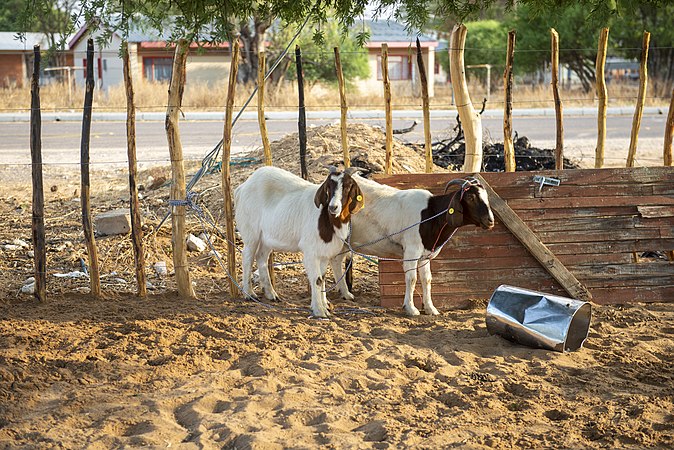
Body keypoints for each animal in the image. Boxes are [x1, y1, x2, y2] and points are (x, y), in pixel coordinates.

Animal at [235, 165, 362, 316]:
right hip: (251, 232)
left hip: (266, 237)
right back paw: (249, 293)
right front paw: (319, 310)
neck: (328, 220)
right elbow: (317, 280)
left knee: (261, 257)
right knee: (247, 257)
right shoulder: (310, 251)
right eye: (328, 186)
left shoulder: (324, 253)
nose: (333, 207)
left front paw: (324, 305)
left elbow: (322, 278)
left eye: (348, 186)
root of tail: (242, 187)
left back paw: (271, 294)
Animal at [330, 175, 494, 316]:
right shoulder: (411, 251)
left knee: (336, 261)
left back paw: (345, 294)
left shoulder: (425, 255)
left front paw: (430, 308)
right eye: (470, 197)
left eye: (487, 197)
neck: (431, 214)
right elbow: (412, 278)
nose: (490, 220)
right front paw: (410, 308)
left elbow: (427, 279)